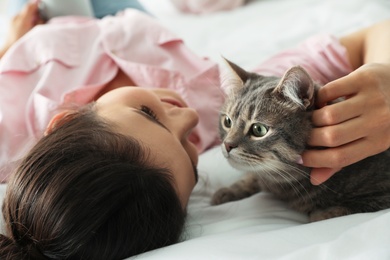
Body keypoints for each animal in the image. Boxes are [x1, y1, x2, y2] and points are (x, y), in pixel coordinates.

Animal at [212, 60, 390, 221]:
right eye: (227, 122)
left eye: (259, 130)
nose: (227, 144)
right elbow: (252, 176)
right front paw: (229, 190)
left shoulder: (381, 194)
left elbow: (341, 210)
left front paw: (322, 213)